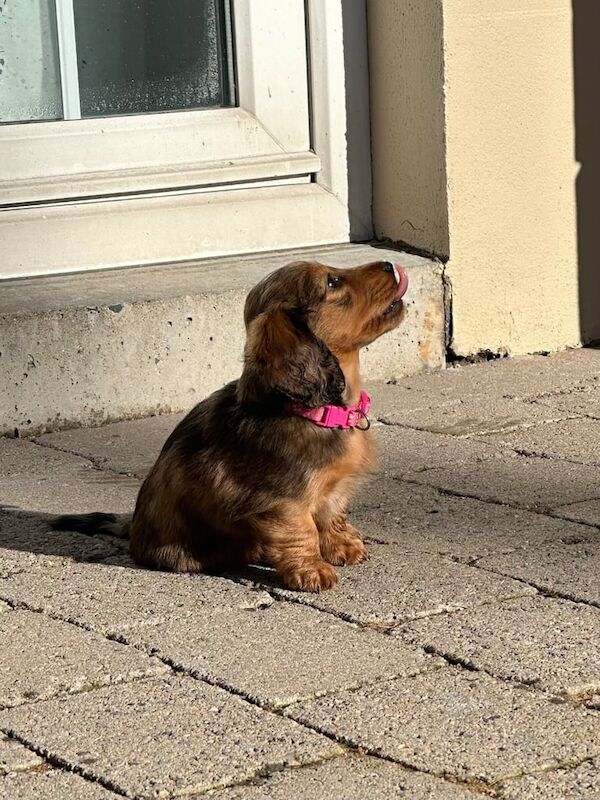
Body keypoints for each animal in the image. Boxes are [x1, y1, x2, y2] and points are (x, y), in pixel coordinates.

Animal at [52, 260, 408, 592]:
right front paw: (312, 570)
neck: (315, 411)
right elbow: (302, 530)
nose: (389, 264)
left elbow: (331, 513)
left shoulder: (333, 488)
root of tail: (134, 527)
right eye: (332, 282)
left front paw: (341, 546)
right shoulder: (281, 500)